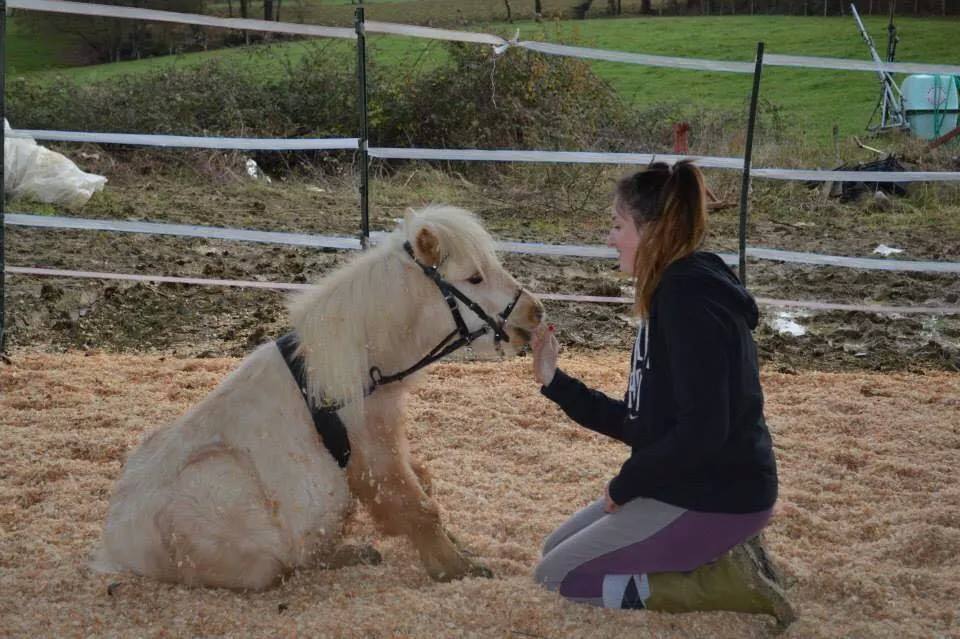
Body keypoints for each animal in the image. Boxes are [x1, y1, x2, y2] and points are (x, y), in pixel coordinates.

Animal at [91, 205, 545, 590]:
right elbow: (418, 508)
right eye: (474, 278)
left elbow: (424, 488)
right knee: (288, 566)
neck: (357, 372)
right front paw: (456, 569)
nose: (535, 313)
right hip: (226, 502)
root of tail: (117, 548)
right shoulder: (375, 453)